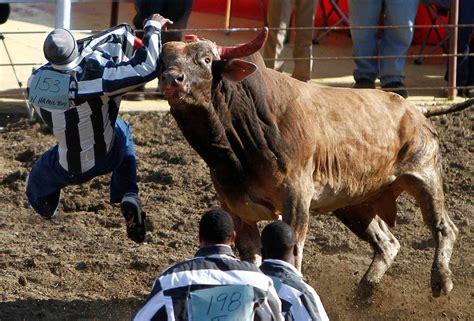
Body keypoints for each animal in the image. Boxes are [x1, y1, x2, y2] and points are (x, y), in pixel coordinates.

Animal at [158, 28, 470, 296]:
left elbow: (293, 252)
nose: (172, 79)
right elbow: (251, 256)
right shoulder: (237, 209)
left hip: (425, 177)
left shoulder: (296, 197)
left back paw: (441, 281)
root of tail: (415, 110)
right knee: (387, 244)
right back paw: (363, 294)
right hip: (354, 203)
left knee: (445, 228)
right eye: (164, 61)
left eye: (206, 59)